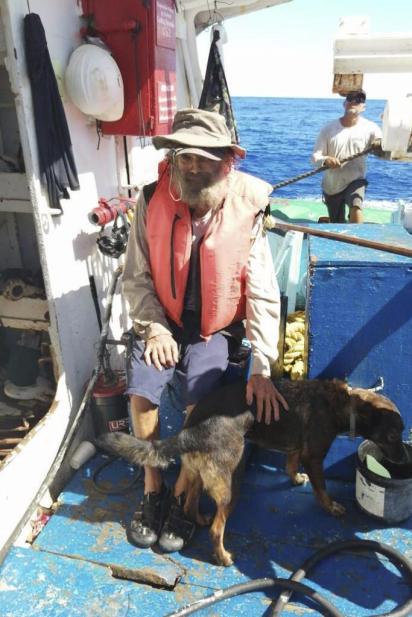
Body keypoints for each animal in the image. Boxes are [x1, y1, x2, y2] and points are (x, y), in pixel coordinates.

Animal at [96, 378, 402, 564]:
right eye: (391, 436)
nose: (401, 460)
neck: (344, 403)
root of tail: (190, 430)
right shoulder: (314, 457)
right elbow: (322, 489)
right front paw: (331, 507)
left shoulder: (296, 448)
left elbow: (291, 463)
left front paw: (294, 478)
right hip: (232, 483)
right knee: (217, 528)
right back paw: (222, 556)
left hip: (198, 473)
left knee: (191, 502)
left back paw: (200, 518)